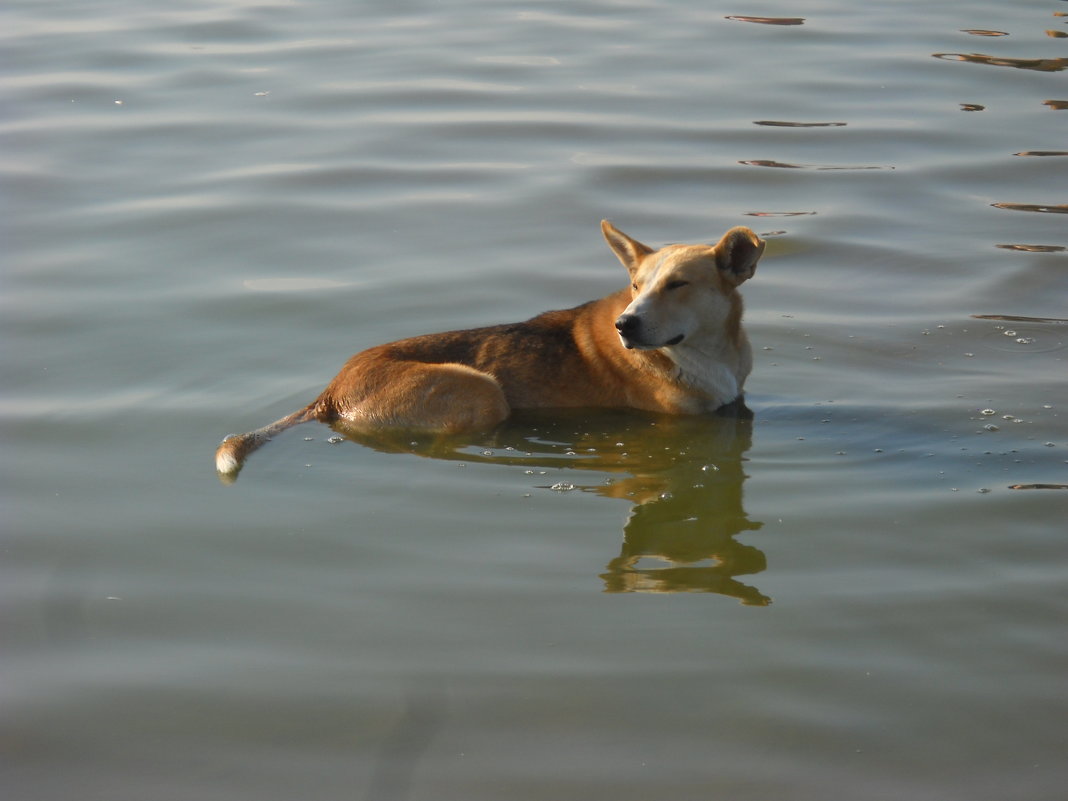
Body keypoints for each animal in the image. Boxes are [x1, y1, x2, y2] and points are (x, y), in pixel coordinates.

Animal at [216, 221, 764, 476]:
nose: (624, 325)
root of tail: (330, 391)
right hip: (482, 389)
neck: (709, 352)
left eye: (678, 285)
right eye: (635, 285)